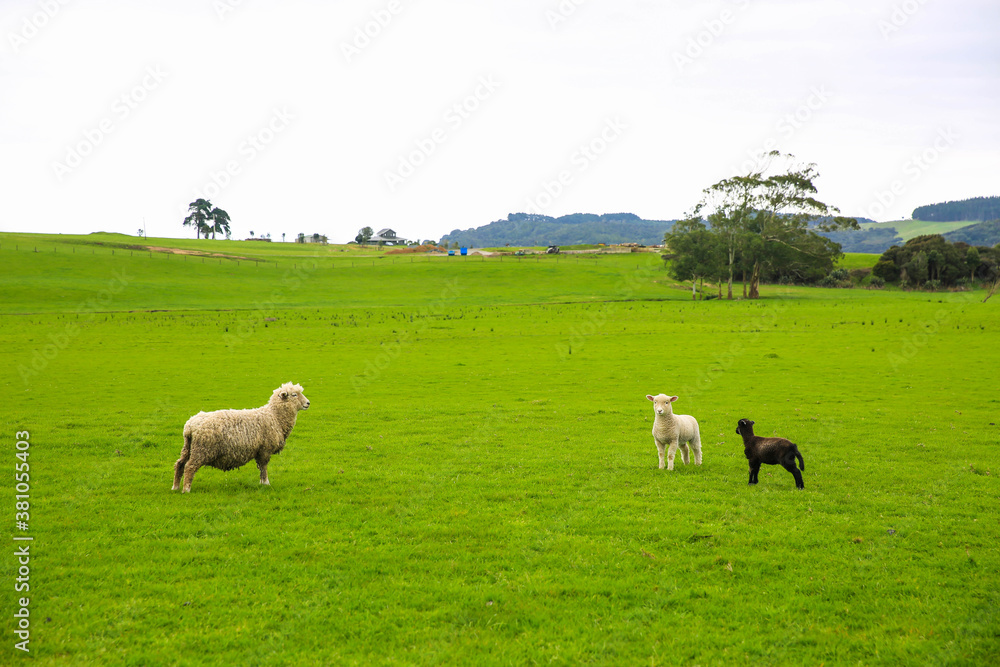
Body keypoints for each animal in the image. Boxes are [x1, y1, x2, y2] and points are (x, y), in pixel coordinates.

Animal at [172, 382, 310, 493]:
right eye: (294, 395)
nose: (308, 403)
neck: (275, 416)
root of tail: (190, 426)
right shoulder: (265, 449)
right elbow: (264, 467)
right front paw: (266, 483)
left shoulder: (259, 450)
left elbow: (261, 468)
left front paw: (262, 483)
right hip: (202, 449)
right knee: (190, 467)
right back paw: (186, 489)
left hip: (188, 447)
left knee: (179, 464)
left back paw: (175, 487)